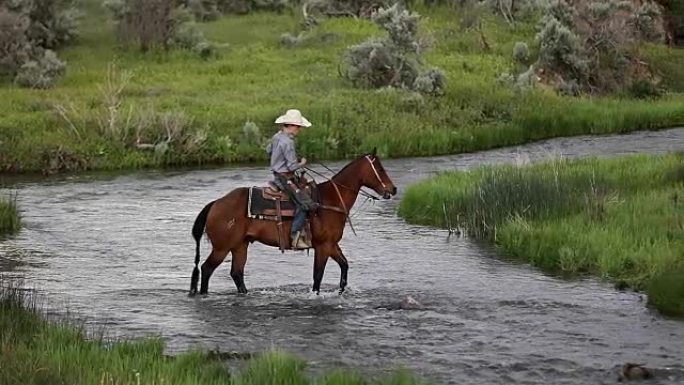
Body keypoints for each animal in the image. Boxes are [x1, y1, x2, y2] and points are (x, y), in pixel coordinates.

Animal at [190, 149, 398, 294]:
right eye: (380, 169)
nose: (393, 189)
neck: (330, 201)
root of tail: (216, 203)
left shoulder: (331, 244)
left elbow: (344, 265)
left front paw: (341, 291)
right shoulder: (323, 246)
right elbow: (318, 276)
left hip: (240, 246)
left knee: (236, 273)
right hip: (222, 247)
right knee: (206, 269)